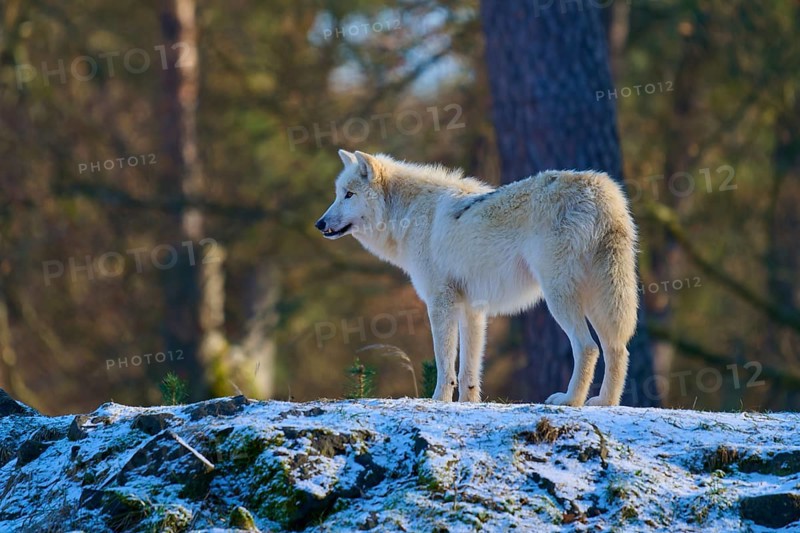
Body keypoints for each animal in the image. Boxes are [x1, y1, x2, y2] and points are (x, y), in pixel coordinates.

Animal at [315, 150, 638, 406]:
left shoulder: (440, 301)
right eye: (338, 193)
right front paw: (468, 402)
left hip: (559, 296)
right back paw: (605, 402)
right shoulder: (473, 308)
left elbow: (445, 361)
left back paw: (570, 400)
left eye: (349, 194)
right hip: (601, 298)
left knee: (588, 347)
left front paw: (439, 400)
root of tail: (601, 191)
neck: (408, 214)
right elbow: (468, 368)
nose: (319, 223)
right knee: (617, 348)